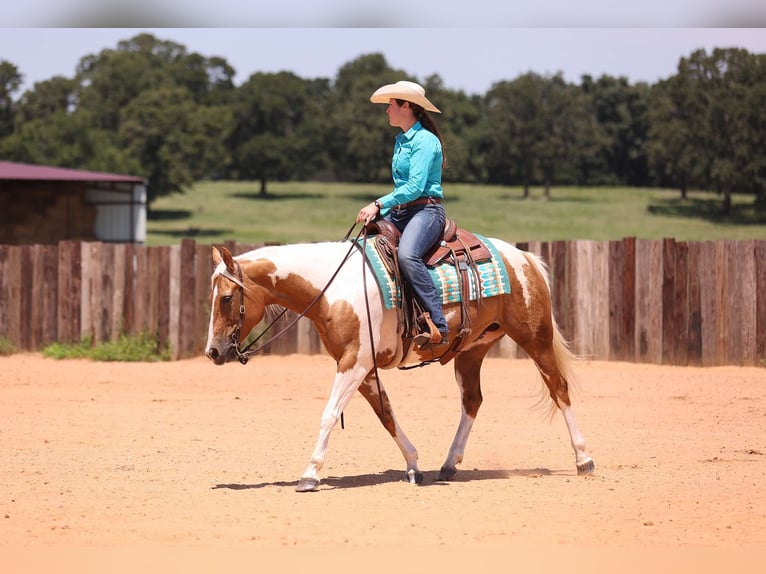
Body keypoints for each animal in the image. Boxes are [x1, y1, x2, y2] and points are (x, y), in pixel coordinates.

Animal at [204, 233, 595, 492]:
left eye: (226, 298)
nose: (213, 352)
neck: (333, 289)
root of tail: (525, 260)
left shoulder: (353, 363)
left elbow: (329, 414)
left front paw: (310, 474)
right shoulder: (362, 368)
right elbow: (386, 415)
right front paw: (413, 466)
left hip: (535, 338)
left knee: (559, 389)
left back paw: (583, 459)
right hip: (472, 350)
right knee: (472, 401)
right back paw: (448, 465)